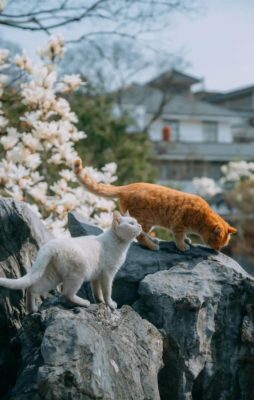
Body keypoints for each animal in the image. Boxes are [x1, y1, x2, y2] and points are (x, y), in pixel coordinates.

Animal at [0, 211, 141, 310]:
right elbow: (107, 291)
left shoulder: (96, 276)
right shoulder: (107, 274)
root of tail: (51, 245)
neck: (121, 244)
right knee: (66, 293)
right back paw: (84, 302)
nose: (140, 226)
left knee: (32, 288)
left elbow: (97, 291)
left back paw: (32, 310)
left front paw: (100, 301)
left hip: (52, 277)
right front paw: (110, 304)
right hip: (77, 274)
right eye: (131, 223)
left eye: (137, 221)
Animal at [74, 159, 237, 250]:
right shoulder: (178, 225)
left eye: (223, 245)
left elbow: (183, 236)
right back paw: (152, 246)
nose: (217, 250)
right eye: (216, 242)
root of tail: (127, 187)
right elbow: (178, 238)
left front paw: (187, 240)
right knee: (140, 237)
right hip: (145, 221)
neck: (201, 218)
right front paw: (183, 246)